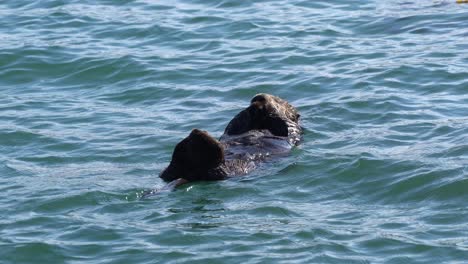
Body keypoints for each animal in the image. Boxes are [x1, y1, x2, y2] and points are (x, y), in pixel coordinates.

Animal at [144, 94, 302, 195]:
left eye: (277, 100)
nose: (259, 97)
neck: (261, 124)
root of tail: (193, 173)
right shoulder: (238, 127)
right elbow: (235, 124)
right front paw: (252, 108)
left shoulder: (292, 132)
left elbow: (287, 126)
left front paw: (269, 109)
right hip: (174, 171)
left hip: (224, 171)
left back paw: (199, 137)